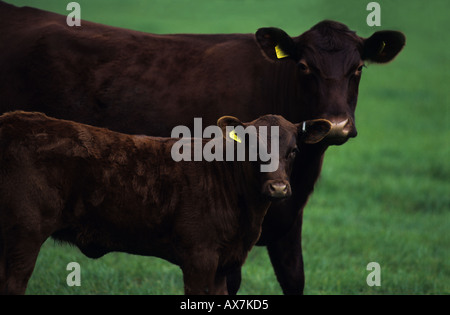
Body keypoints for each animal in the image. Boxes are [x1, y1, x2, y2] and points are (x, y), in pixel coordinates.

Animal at [0, 111, 330, 296]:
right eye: (253, 148)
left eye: (293, 151)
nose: (279, 187)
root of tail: (14, 120)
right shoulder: (199, 256)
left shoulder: (223, 263)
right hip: (23, 234)